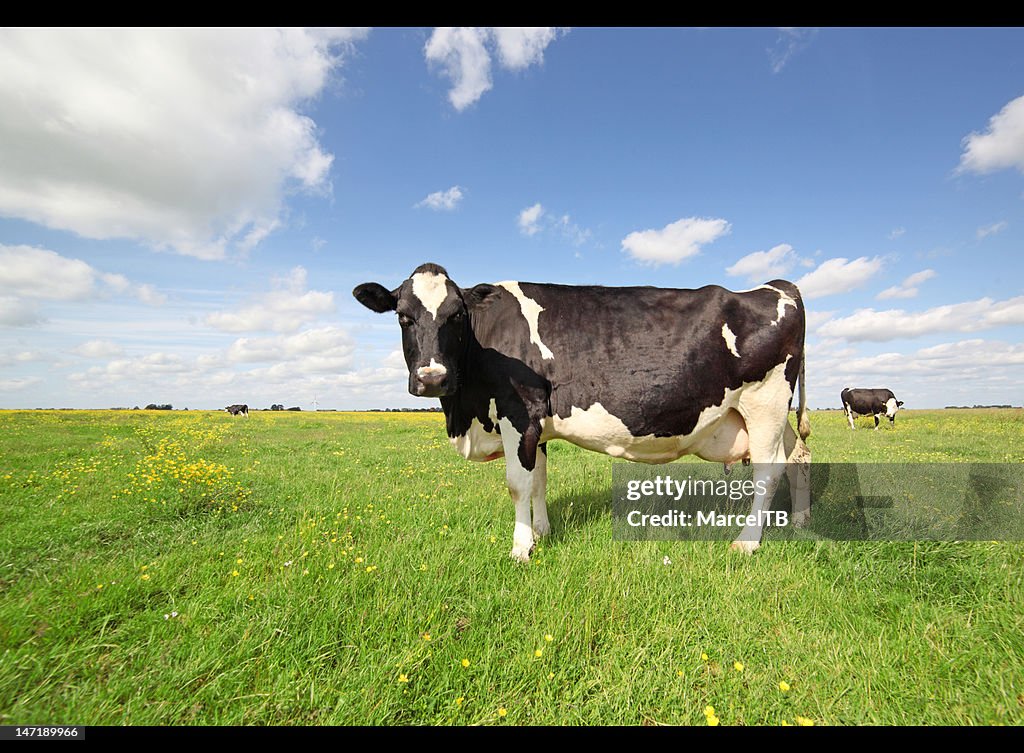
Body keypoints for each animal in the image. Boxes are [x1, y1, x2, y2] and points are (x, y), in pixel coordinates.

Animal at [356, 264, 811, 561]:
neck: (464, 414)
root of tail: (776, 286)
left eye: (456, 315)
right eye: (403, 317)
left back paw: (747, 542)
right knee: (799, 456)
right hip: (771, 411)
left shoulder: (518, 411)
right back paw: (801, 521)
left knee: (769, 470)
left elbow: (518, 485)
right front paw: (542, 532)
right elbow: (539, 479)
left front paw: (520, 549)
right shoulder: (536, 424)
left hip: (765, 400)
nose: (432, 378)